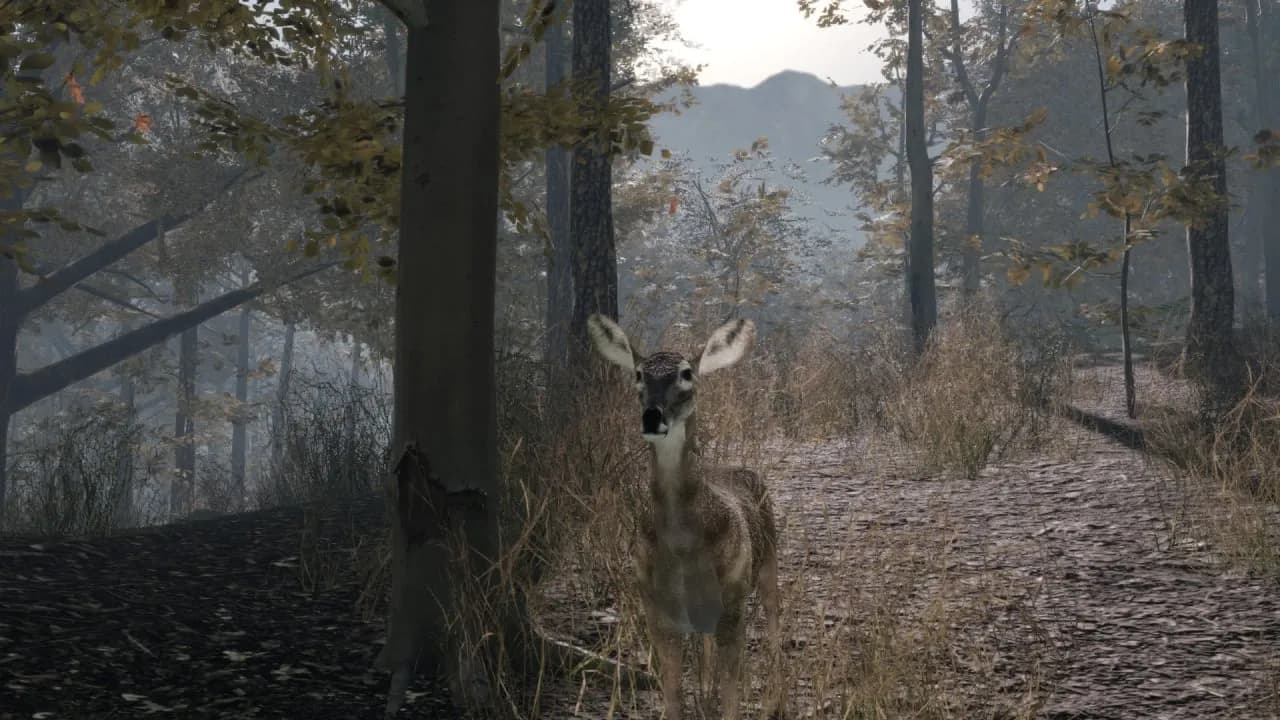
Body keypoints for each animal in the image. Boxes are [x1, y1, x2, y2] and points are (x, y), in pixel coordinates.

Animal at [586, 313, 784, 720]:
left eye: (686, 373)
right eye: (639, 374)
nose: (652, 417)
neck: (681, 544)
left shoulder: (732, 601)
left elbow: (732, 696)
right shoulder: (655, 609)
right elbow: (673, 694)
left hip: (768, 559)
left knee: (774, 618)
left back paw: (777, 702)